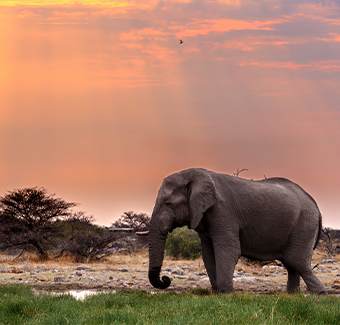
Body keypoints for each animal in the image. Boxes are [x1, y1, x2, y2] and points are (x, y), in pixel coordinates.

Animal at [149, 167, 326, 294]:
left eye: (168, 204)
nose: (166, 279)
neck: (194, 175)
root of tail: (317, 207)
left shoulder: (223, 212)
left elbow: (228, 251)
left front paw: (225, 293)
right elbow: (208, 254)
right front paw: (217, 293)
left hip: (304, 224)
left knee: (296, 261)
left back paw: (319, 294)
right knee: (291, 264)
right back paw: (292, 295)